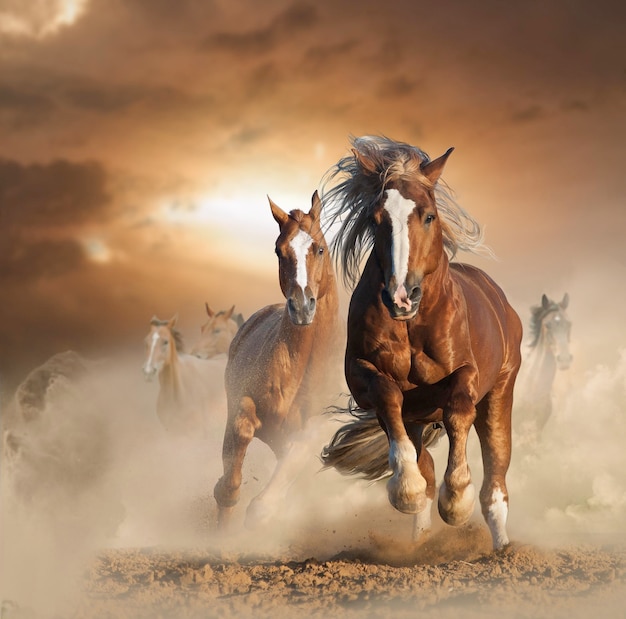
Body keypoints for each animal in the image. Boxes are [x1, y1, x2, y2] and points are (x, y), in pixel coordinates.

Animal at [214, 193, 342, 528]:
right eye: (279, 250)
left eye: (319, 248)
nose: (302, 306)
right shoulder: (243, 405)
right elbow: (242, 431)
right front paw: (226, 497)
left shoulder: (310, 437)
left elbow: (263, 506)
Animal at [320, 137, 520, 552]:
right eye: (376, 219)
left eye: (428, 216)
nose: (401, 296)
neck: (412, 326)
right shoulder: (363, 376)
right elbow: (387, 397)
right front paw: (406, 490)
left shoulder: (467, 375)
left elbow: (459, 409)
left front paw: (456, 501)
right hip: (417, 418)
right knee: (423, 459)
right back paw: (421, 538)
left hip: (500, 392)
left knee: (496, 476)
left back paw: (501, 548)